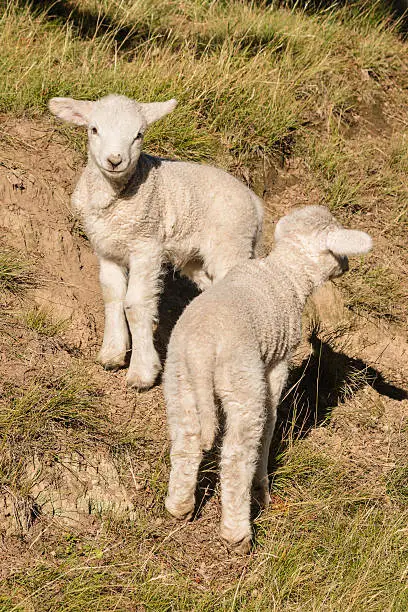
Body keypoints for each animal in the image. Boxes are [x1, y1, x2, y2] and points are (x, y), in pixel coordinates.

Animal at [48, 93, 264, 390]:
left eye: (138, 135)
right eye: (94, 129)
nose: (114, 160)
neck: (114, 198)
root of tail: (254, 201)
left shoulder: (146, 247)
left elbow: (135, 304)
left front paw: (142, 373)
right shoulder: (106, 248)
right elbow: (112, 295)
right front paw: (111, 354)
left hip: (231, 243)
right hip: (199, 259)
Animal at [163, 207, 372, 556]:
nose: (347, 266)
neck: (285, 273)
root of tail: (203, 346)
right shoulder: (277, 363)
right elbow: (273, 415)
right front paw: (262, 486)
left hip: (179, 377)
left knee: (187, 437)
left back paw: (179, 506)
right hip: (241, 379)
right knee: (237, 455)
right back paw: (238, 533)